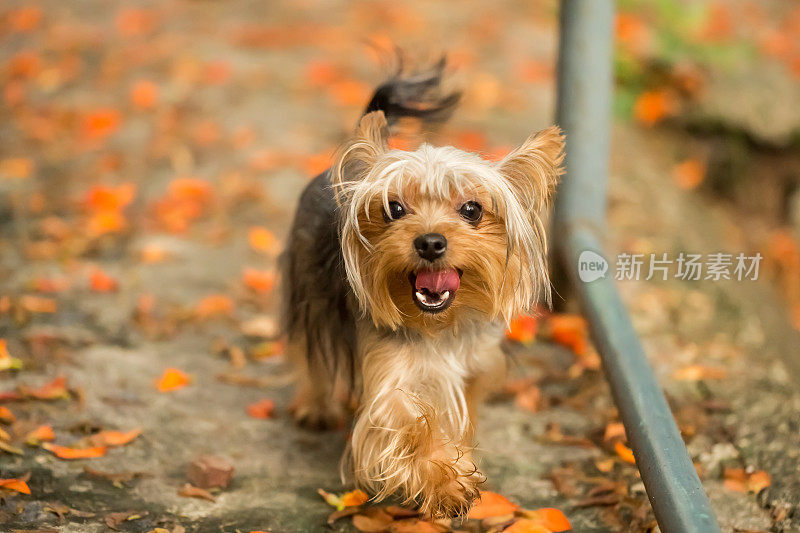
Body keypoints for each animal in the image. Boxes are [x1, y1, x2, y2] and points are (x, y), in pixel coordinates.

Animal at [282, 61, 564, 516]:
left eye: (472, 209)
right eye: (394, 208)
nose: (430, 242)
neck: (439, 326)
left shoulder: (472, 370)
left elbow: (456, 419)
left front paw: (458, 460)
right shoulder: (389, 381)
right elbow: (409, 424)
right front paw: (445, 483)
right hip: (309, 288)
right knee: (312, 350)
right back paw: (315, 405)